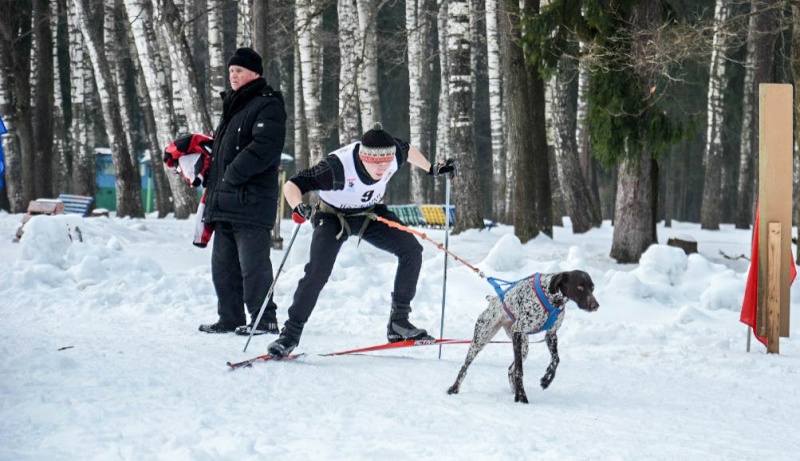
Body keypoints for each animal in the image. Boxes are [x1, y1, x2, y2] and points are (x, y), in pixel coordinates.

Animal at [446, 270, 596, 402]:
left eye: (592, 287)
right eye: (580, 286)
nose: (596, 305)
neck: (552, 298)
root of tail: (493, 300)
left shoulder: (551, 335)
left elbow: (556, 360)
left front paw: (547, 379)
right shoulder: (518, 331)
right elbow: (519, 371)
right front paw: (522, 397)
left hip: (523, 346)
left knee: (510, 369)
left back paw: (515, 391)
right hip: (481, 339)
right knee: (465, 366)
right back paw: (454, 388)